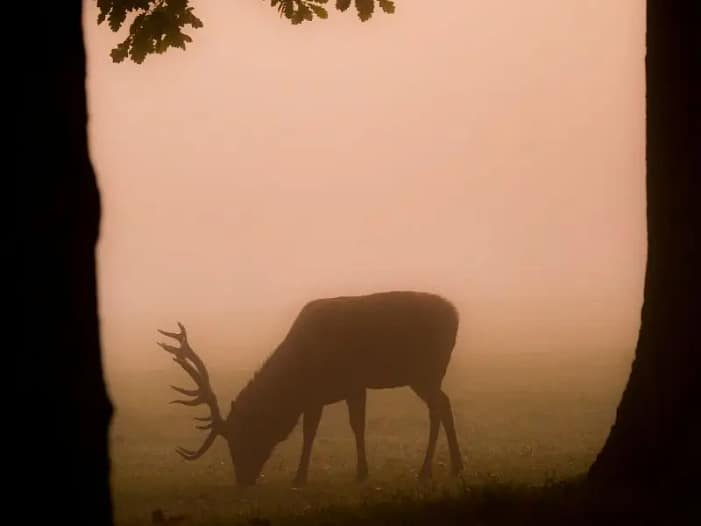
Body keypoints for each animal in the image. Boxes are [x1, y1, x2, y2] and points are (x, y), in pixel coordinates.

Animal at [156, 290, 463, 487]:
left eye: (239, 437)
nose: (242, 479)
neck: (299, 378)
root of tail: (456, 315)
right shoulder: (324, 395)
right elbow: (317, 430)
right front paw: (308, 474)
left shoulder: (349, 384)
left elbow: (347, 426)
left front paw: (355, 473)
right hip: (427, 375)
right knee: (443, 404)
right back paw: (451, 467)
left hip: (426, 371)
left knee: (439, 406)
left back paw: (430, 470)